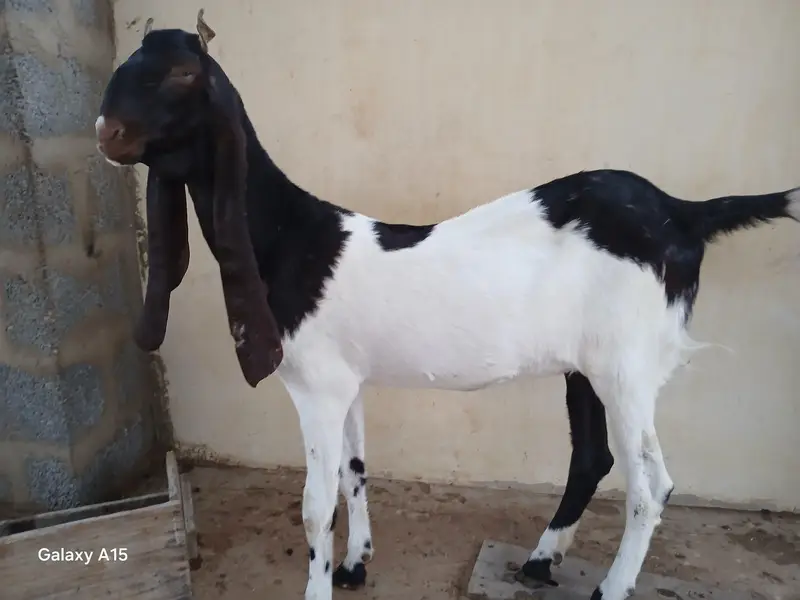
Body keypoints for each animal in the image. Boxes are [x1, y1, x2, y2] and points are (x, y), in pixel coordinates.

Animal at [96, 12, 799, 600]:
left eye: (184, 74)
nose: (107, 131)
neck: (291, 236)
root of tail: (682, 212)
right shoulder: (347, 381)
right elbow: (354, 470)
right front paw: (356, 565)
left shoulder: (316, 387)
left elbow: (314, 508)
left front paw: (323, 583)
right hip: (586, 365)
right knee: (593, 458)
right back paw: (540, 561)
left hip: (626, 367)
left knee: (652, 487)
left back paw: (611, 587)